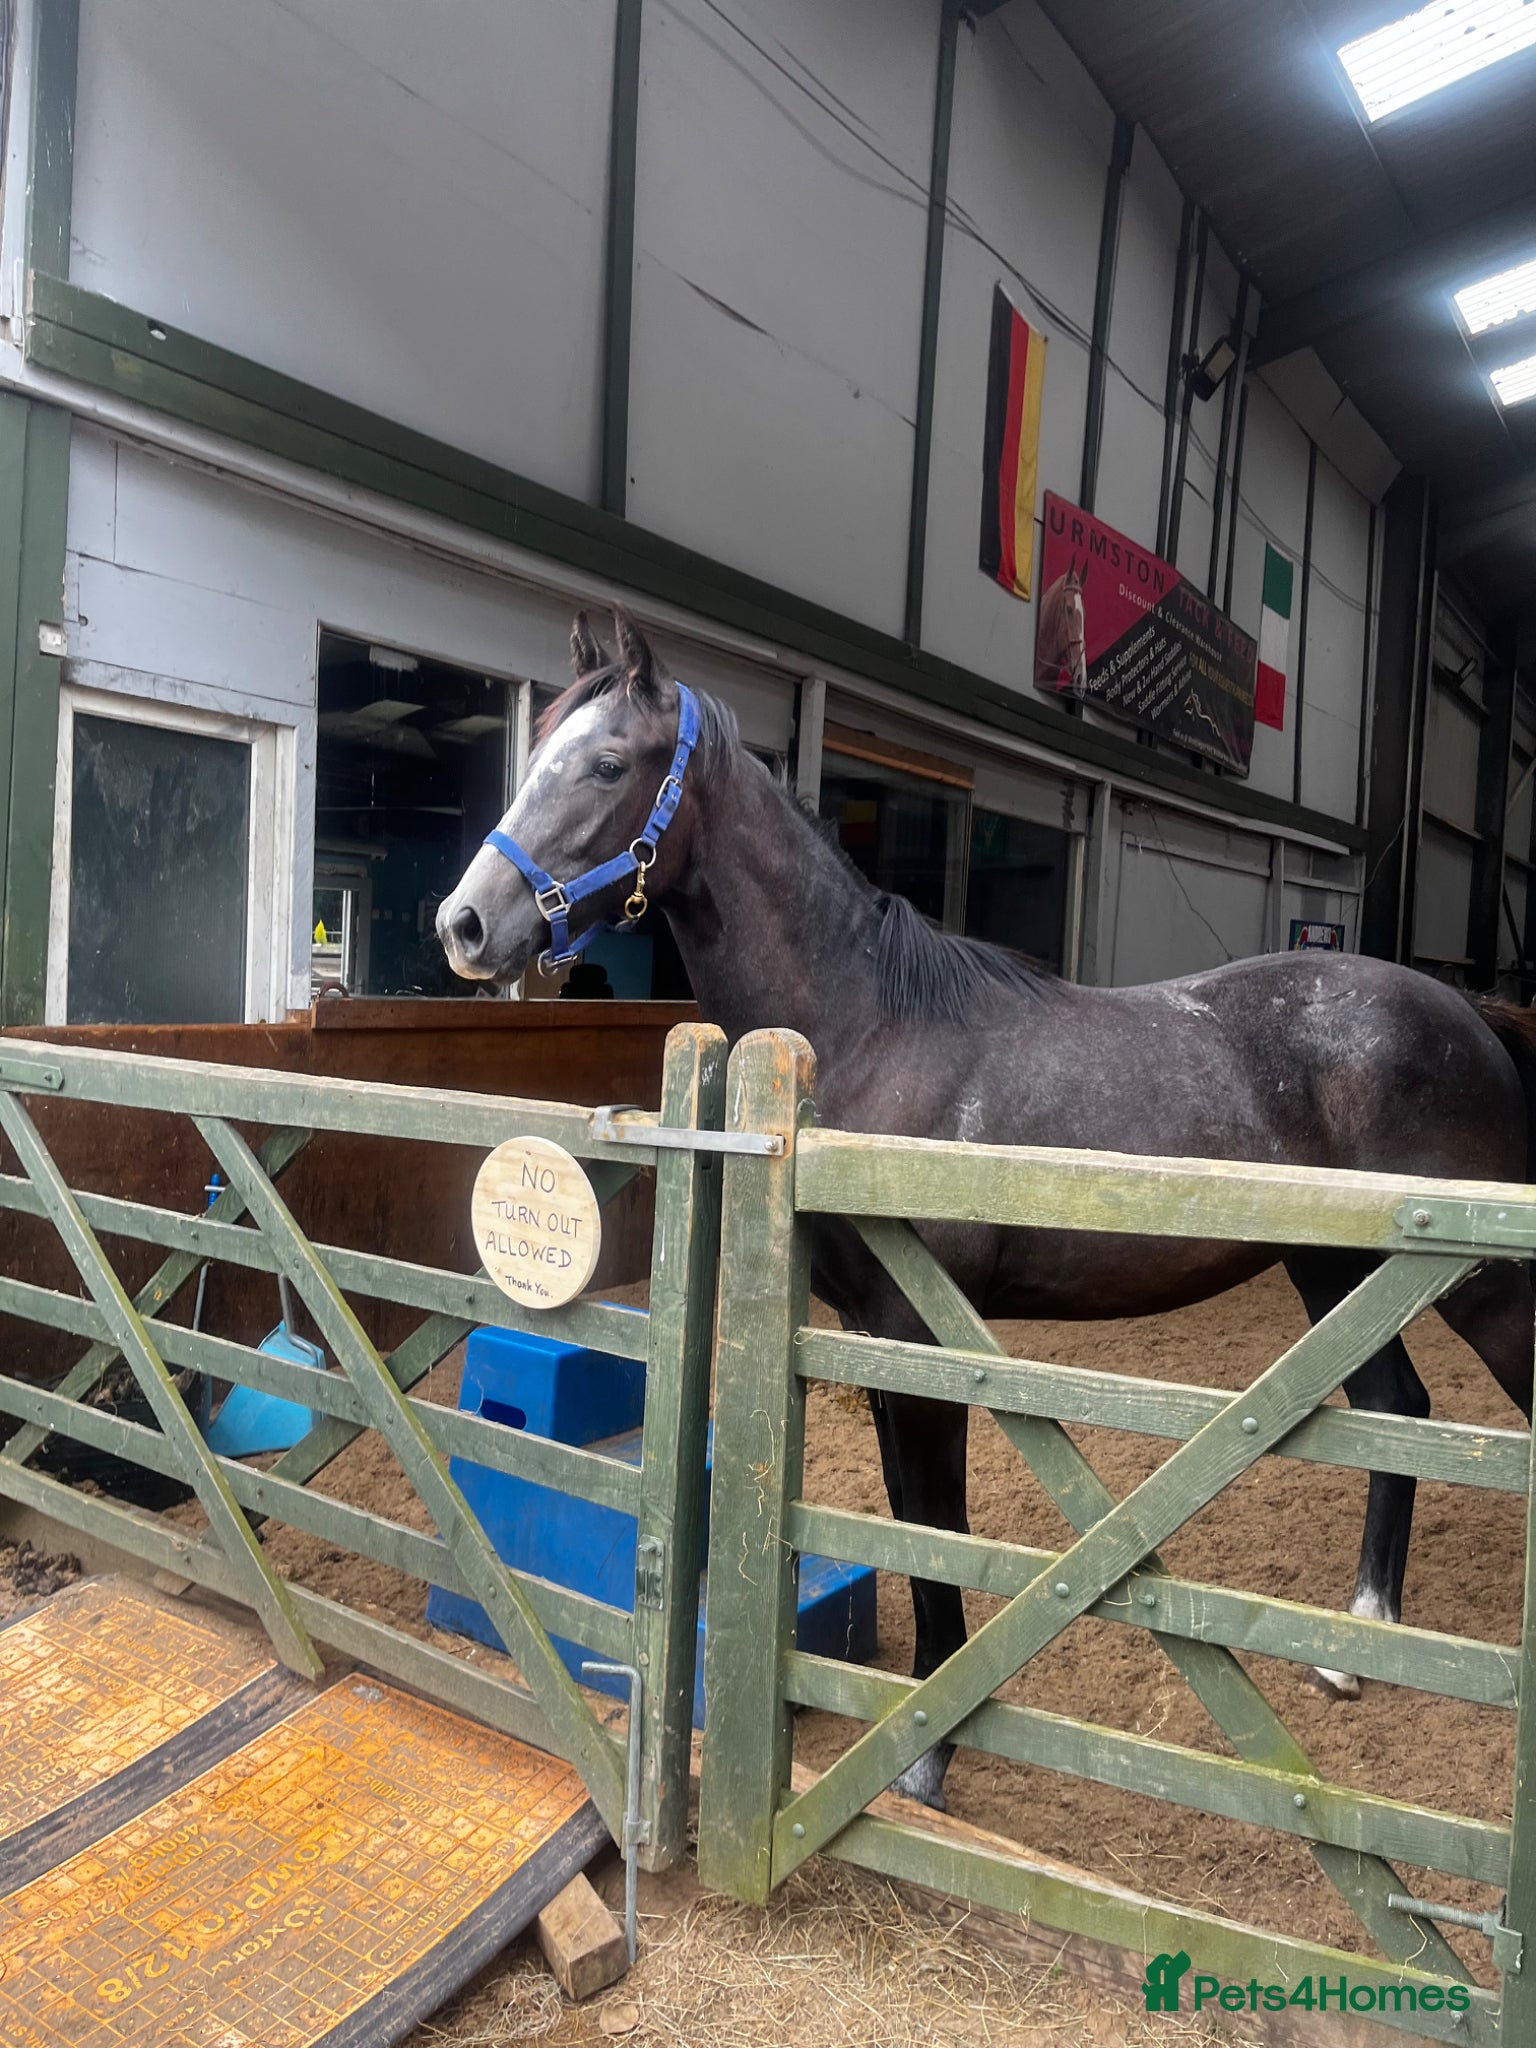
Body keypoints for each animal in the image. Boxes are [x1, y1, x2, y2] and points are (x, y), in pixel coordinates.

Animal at [439, 608, 1536, 1810]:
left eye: (606, 763)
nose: (465, 924)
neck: (873, 1027)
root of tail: (1470, 1017)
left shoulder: (921, 1336)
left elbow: (938, 1527)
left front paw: (924, 1755)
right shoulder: (871, 1335)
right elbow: (914, 1515)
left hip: (1480, 1290)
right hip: (1340, 1274)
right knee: (1401, 1408)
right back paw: (1354, 1644)